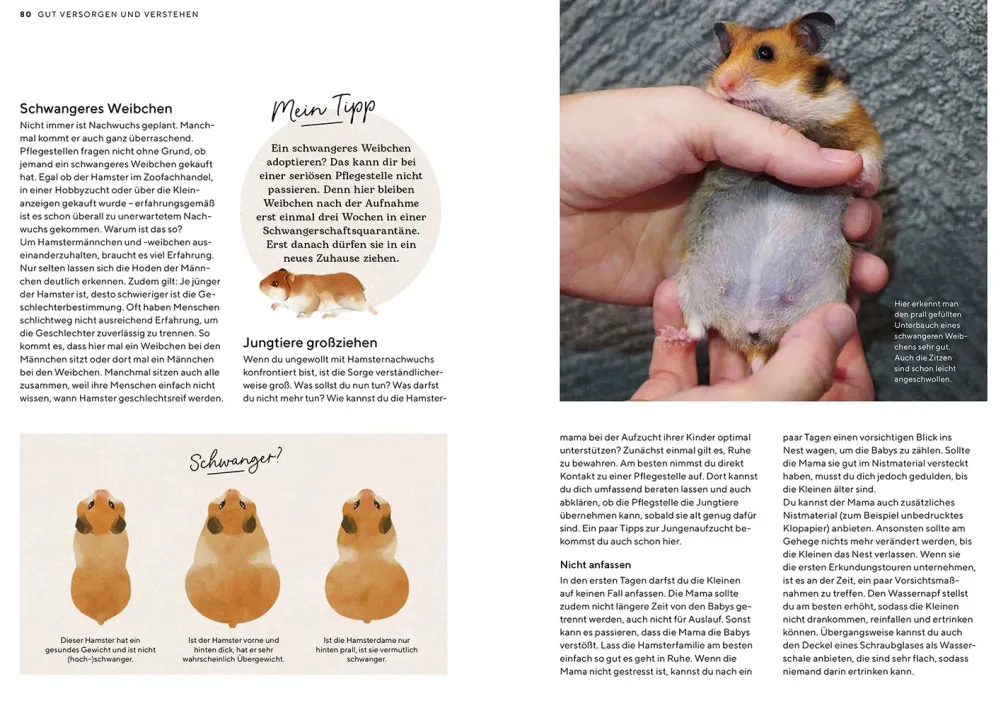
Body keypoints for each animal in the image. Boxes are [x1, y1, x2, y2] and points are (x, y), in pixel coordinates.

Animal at [666, 13, 884, 371]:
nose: (722, 83)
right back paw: (672, 337)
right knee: (697, 327)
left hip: (824, 295)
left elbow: (868, 157)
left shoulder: (856, 123)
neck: (780, 112)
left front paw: (860, 182)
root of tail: (754, 334)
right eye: (726, 55)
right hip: (688, 283)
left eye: (765, 53)